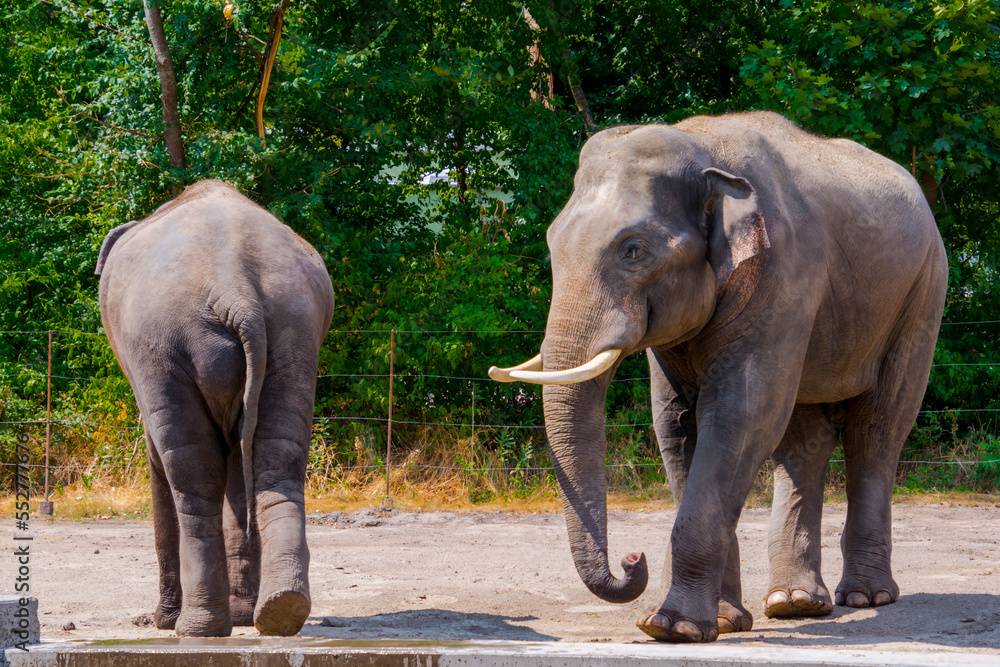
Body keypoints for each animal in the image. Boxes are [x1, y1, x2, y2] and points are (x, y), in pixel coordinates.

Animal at [95, 180, 335, 637]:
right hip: (294, 333)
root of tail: (236, 289)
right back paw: (281, 610)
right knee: (276, 457)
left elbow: (164, 463)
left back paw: (195, 627)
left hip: (165, 347)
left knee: (191, 472)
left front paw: (162, 622)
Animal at [490, 112, 947, 643]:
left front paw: (673, 627)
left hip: (922, 293)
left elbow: (739, 415)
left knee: (877, 428)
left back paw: (864, 597)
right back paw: (794, 603)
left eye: (633, 250)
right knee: (803, 438)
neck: (702, 142)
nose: (632, 559)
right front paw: (721, 622)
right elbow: (677, 425)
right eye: (551, 241)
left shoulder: (785, 272)